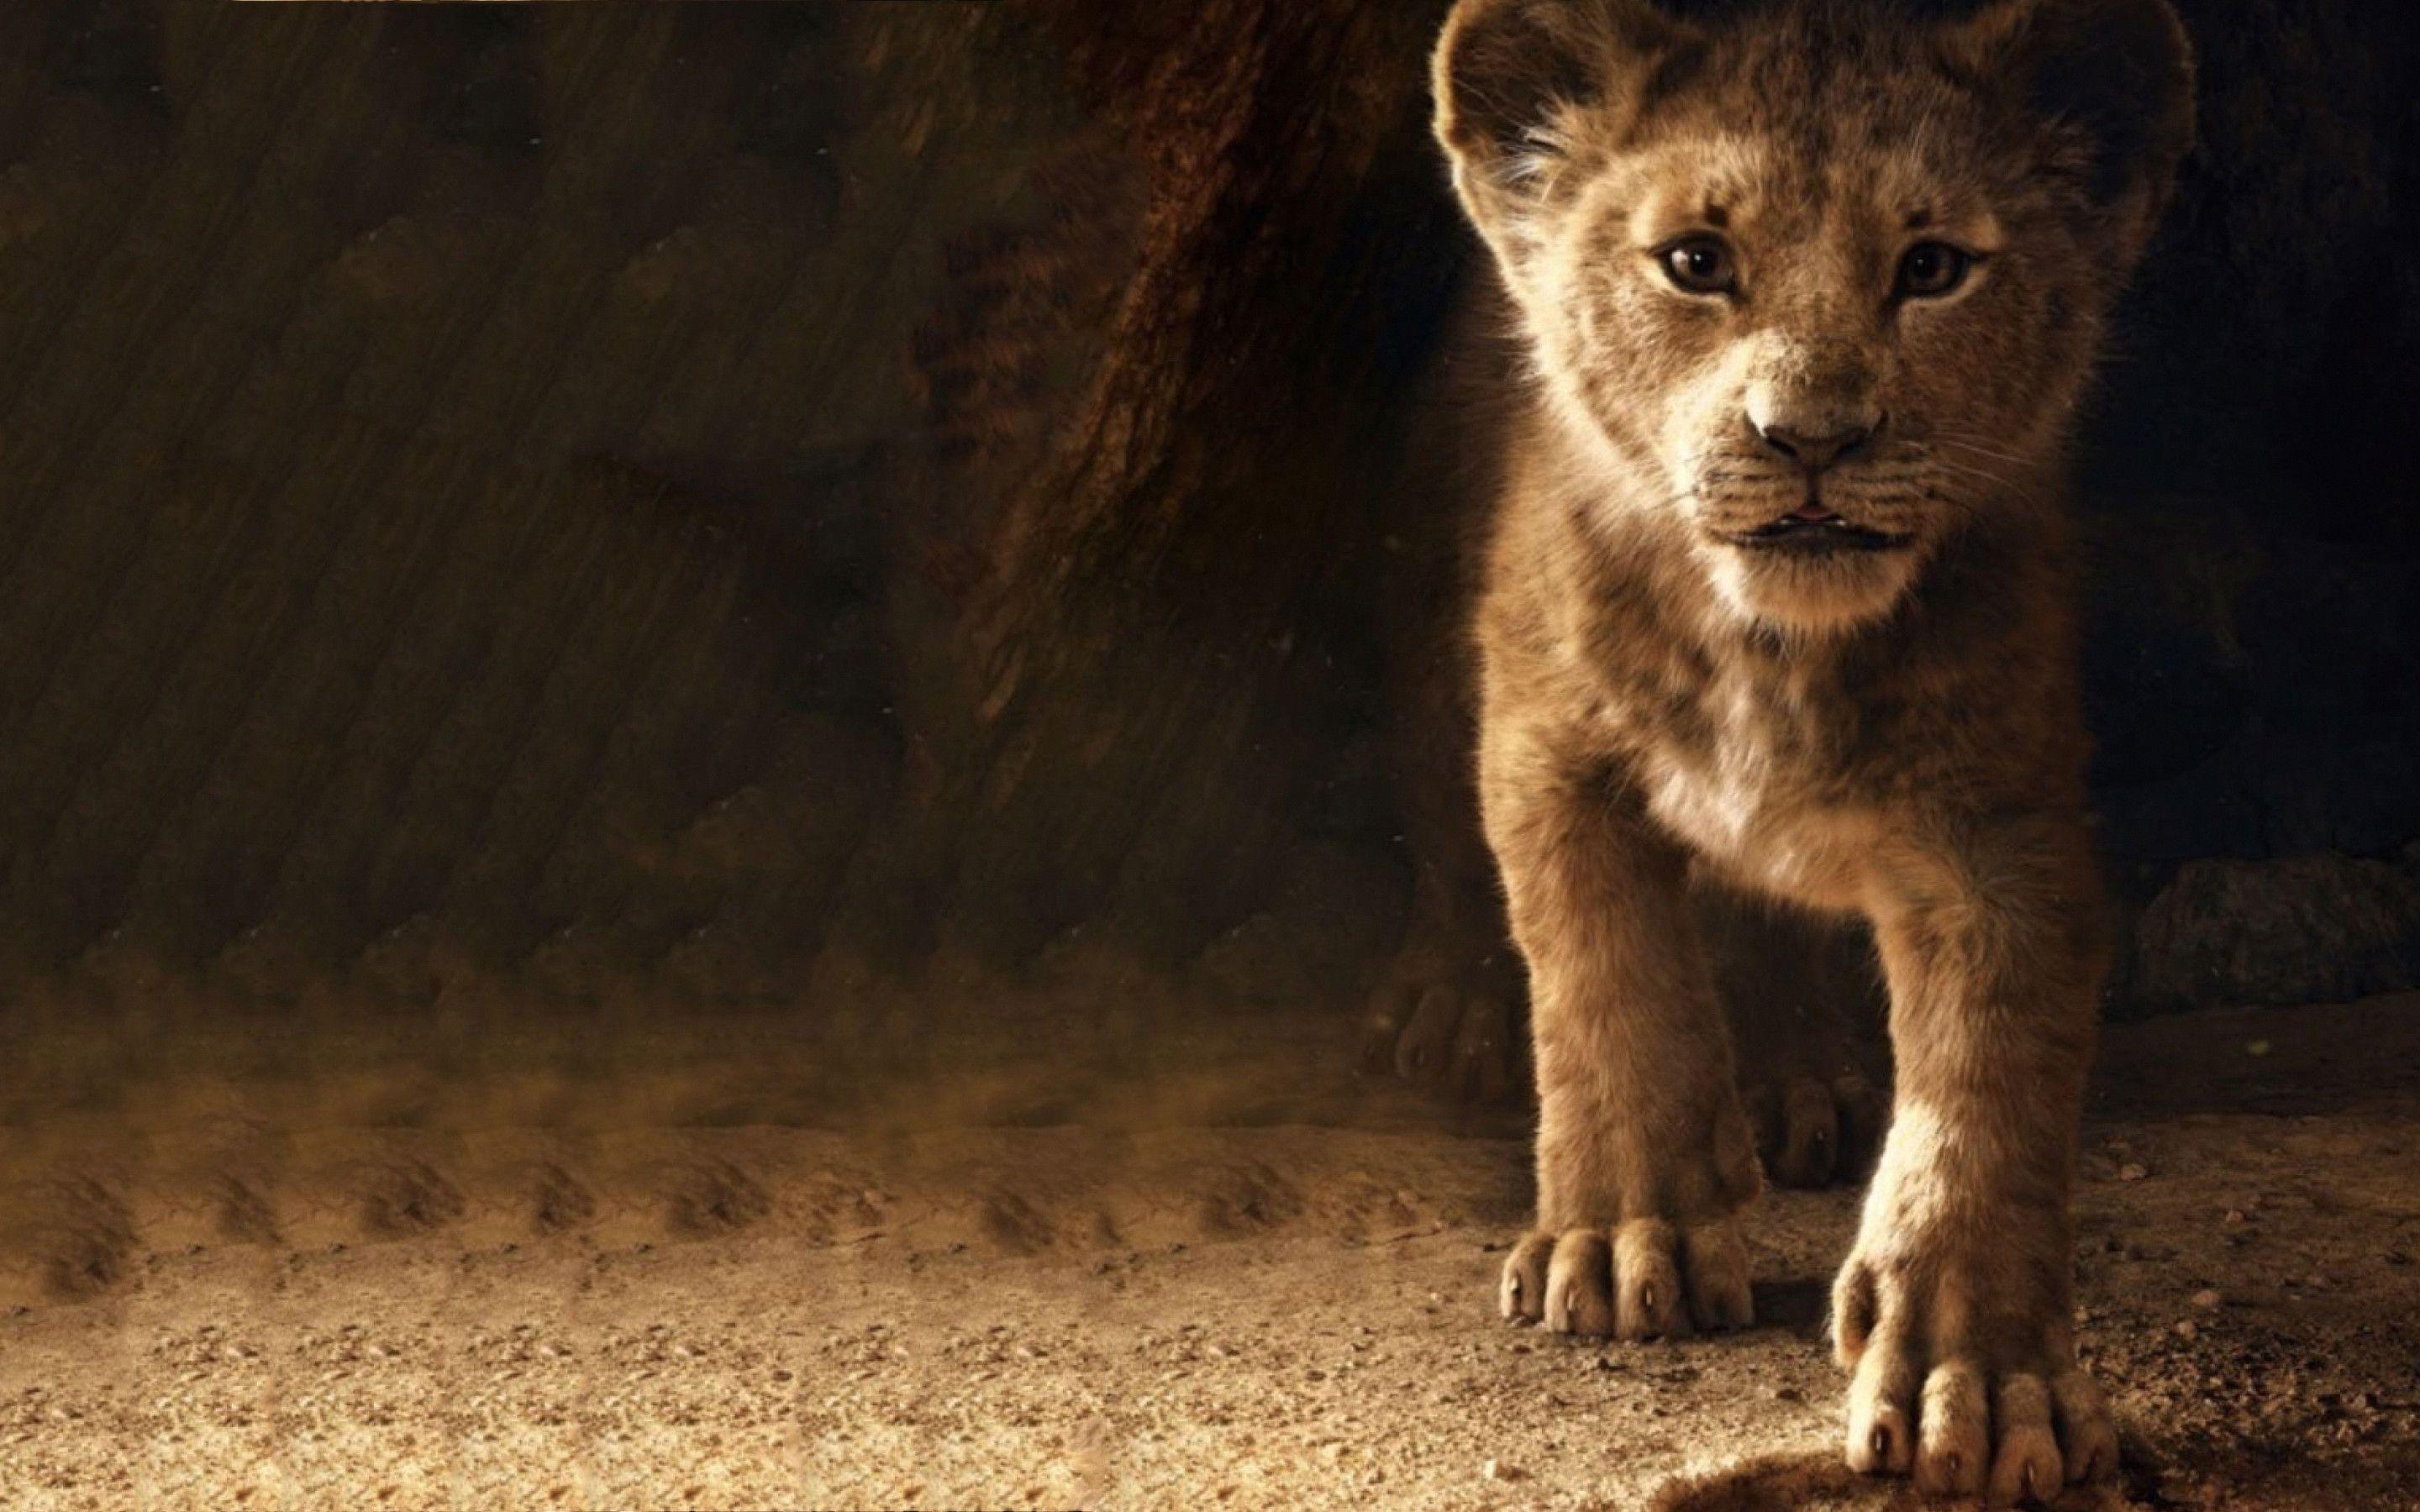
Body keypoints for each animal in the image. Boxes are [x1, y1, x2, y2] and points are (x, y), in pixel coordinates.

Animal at [1419, 0, 2195, 1500]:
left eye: (1933, 268)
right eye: (1695, 263)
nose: (1811, 440)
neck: (1773, 651)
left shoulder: (2003, 826)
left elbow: (1986, 1093)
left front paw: (1978, 1377)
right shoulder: (1545, 739)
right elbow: (1608, 982)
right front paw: (1626, 1237)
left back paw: (1799, 1083)